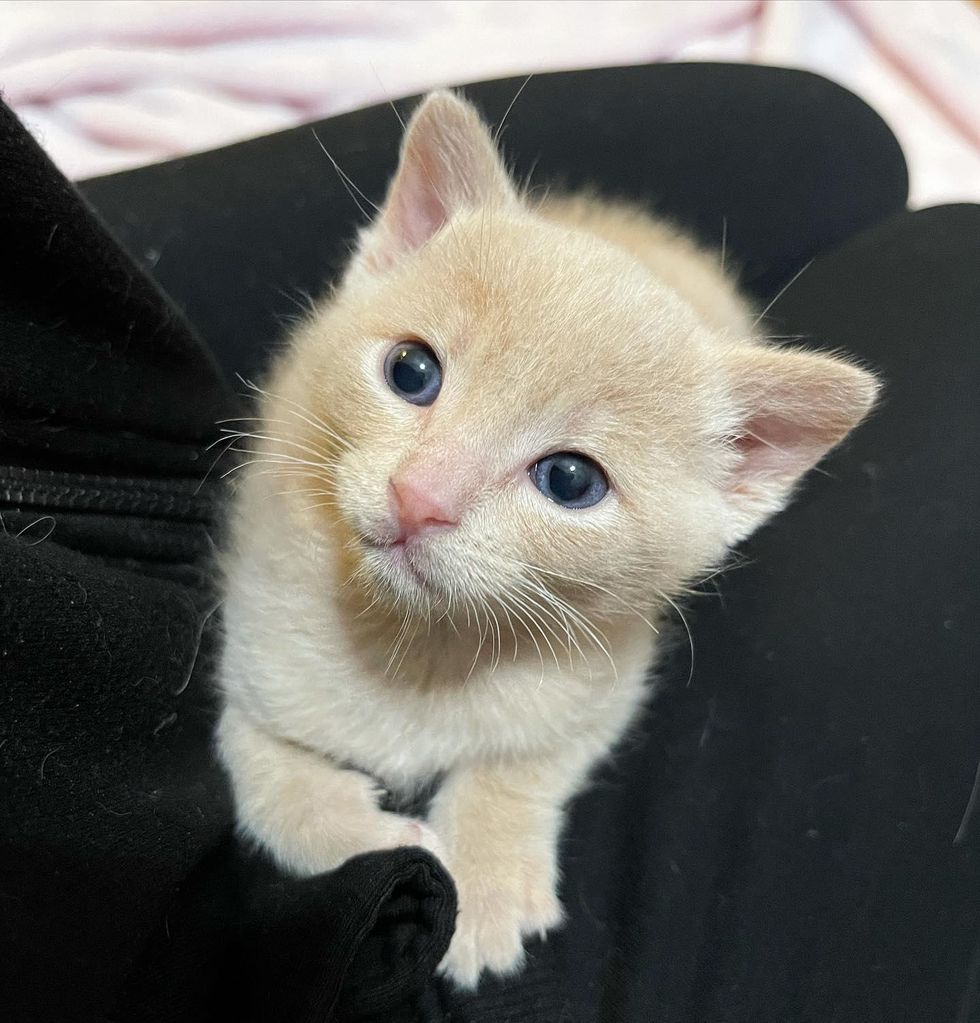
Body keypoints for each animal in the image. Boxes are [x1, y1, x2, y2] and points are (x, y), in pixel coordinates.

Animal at [216, 92, 883, 986]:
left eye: (570, 481)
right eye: (411, 372)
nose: (419, 497)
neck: (421, 647)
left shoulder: (605, 678)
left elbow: (524, 763)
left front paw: (487, 881)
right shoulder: (253, 666)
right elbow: (273, 787)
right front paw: (383, 839)